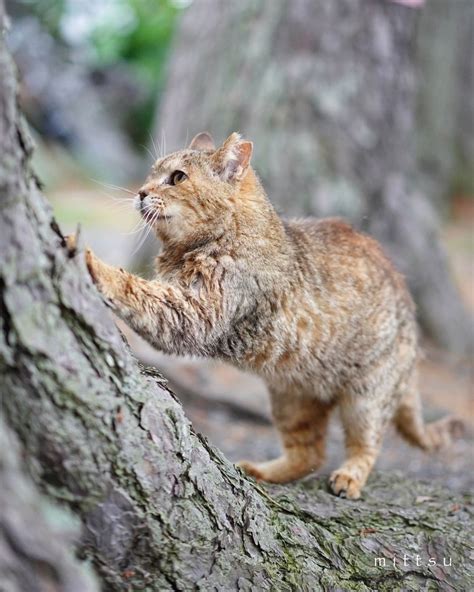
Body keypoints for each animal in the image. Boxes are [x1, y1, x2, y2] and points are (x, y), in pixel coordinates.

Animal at [79, 132, 462, 498]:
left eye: (177, 177)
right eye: (151, 173)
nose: (141, 192)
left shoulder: (194, 311)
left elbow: (137, 289)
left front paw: (94, 262)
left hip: (366, 397)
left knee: (365, 445)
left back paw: (349, 477)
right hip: (292, 400)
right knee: (308, 454)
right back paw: (263, 472)